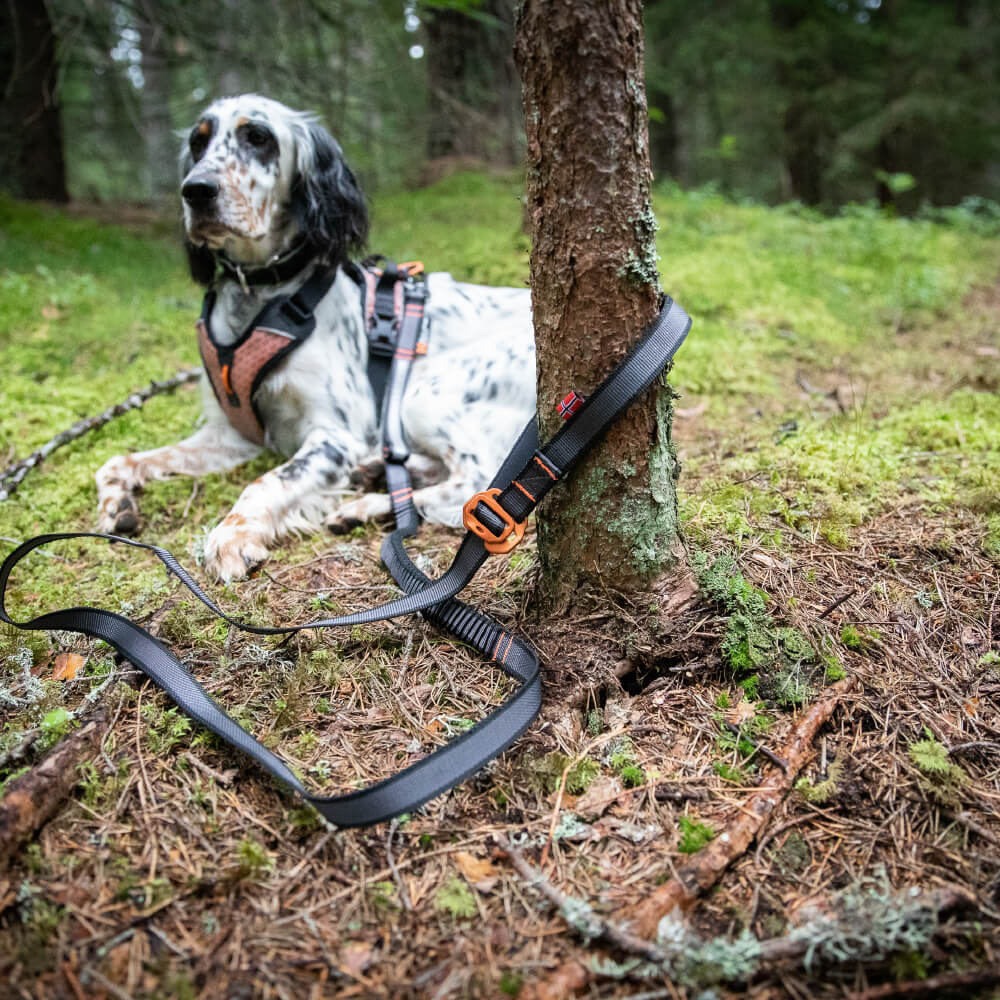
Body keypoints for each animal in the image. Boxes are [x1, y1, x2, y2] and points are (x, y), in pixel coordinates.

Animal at [96, 97, 536, 584]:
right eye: (198, 141)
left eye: (258, 137)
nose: (196, 190)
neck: (263, 294)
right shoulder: (230, 435)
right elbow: (119, 461)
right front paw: (116, 501)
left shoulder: (335, 435)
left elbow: (266, 480)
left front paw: (232, 534)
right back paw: (373, 478)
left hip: (424, 389)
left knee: (476, 485)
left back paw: (368, 503)